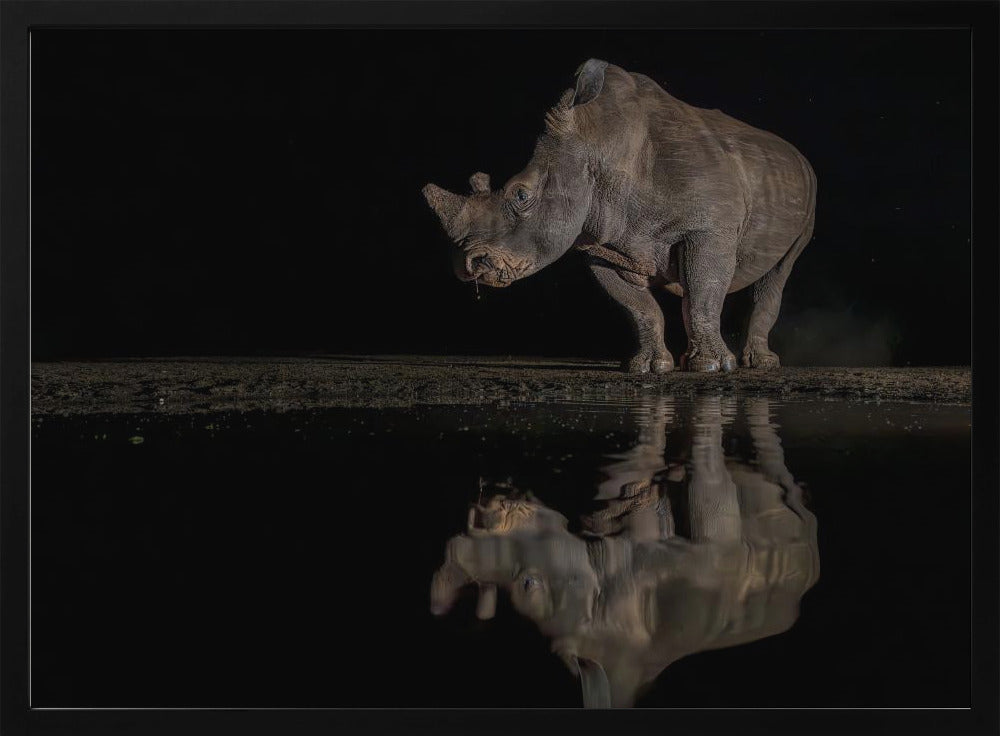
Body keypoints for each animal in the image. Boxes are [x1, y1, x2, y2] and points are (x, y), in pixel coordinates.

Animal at [423, 59, 817, 373]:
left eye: (521, 194)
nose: (468, 265)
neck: (597, 146)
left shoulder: (708, 229)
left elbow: (702, 295)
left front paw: (710, 367)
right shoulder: (602, 243)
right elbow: (637, 307)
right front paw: (648, 367)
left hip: (809, 194)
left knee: (778, 273)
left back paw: (760, 364)